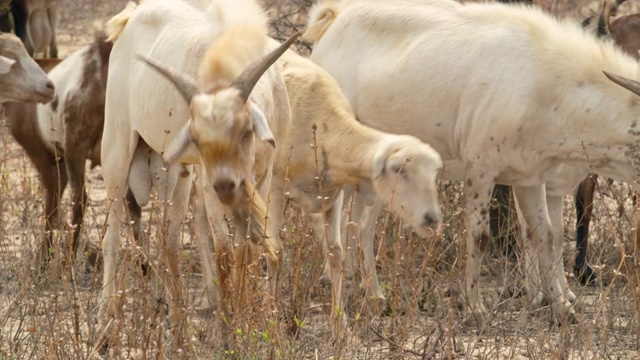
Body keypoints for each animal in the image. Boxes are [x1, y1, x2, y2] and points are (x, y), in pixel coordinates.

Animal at [103, 0, 298, 344]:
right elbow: (225, 251)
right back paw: (106, 325)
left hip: (174, 172)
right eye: (199, 138)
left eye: (246, 130)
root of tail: (131, 16)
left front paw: (248, 326)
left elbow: (247, 249)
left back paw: (179, 327)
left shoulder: (262, 178)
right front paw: (226, 333)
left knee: (169, 240)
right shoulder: (210, 184)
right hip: (117, 148)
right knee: (111, 235)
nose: (227, 184)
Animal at [304, 0, 640, 324]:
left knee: (358, 225)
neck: (544, 82)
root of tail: (334, 18)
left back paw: (369, 295)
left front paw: (562, 309)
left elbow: (546, 236)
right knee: (339, 226)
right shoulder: (480, 169)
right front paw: (475, 308)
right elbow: (480, 237)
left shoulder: (530, 178)